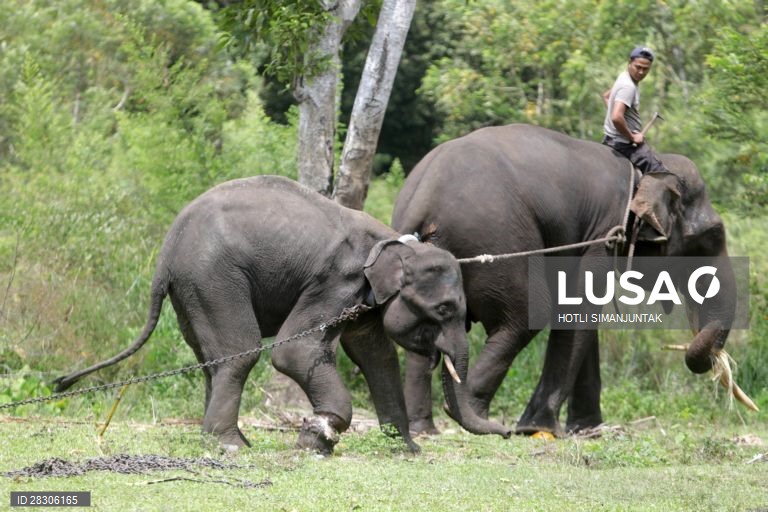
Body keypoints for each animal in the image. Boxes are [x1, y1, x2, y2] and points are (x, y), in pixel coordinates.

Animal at [53, 175, 511, 454]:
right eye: (444, 309)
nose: (508, 432)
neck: (392, 241)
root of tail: (165, 253)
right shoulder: (335, 281)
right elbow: (297, 353)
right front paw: (318, 437)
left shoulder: (363, 298)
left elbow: (376, 357)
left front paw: (406, 452)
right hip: (213, 277)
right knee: (239, 353)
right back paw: (230, 446)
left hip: (191, 290)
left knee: (210, 360)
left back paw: (226, 439)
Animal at [391, 123, 738, 437]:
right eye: (711, 237)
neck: (642, 174)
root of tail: (423, 200)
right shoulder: (605, 232)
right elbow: (577, 308)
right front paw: (537, 428)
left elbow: (576, 308)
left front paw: (588, 431)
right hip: (495, 239)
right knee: (525, 316)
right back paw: (475, 420)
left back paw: (424, 430)